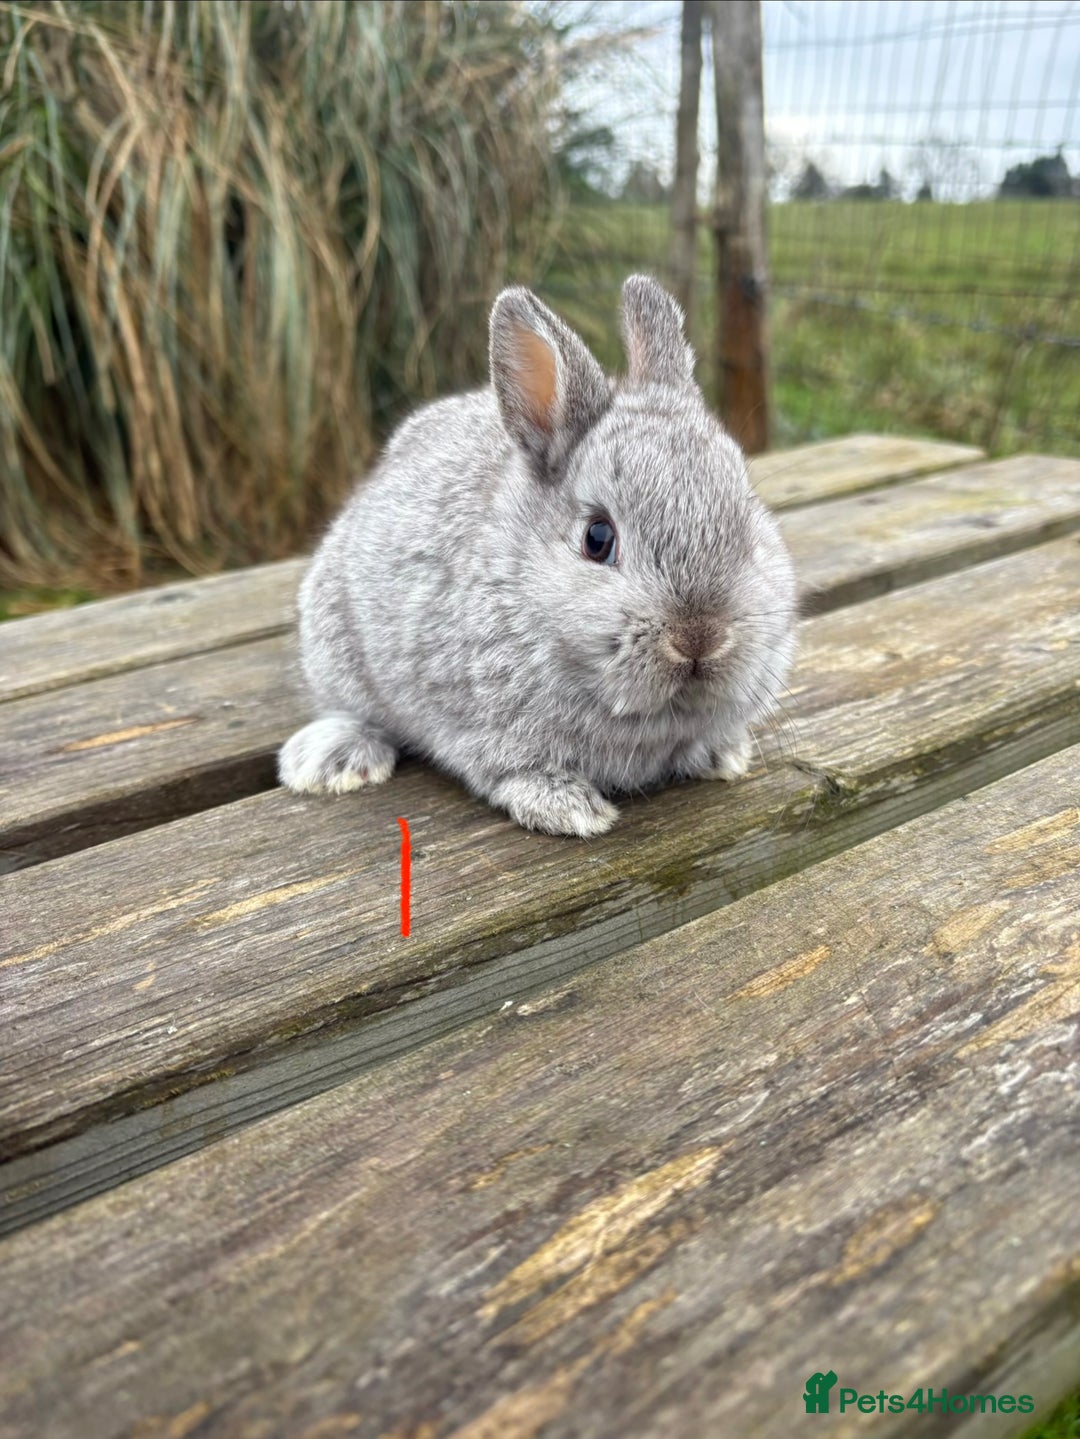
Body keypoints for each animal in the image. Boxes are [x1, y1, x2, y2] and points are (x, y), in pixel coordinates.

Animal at [279, 274, 797, 838]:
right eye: (597, 538)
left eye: (747, 513)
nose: (700, 638)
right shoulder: (483, 727)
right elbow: (511, 770)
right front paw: (572, 810)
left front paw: (723, 757)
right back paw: (334, 761)